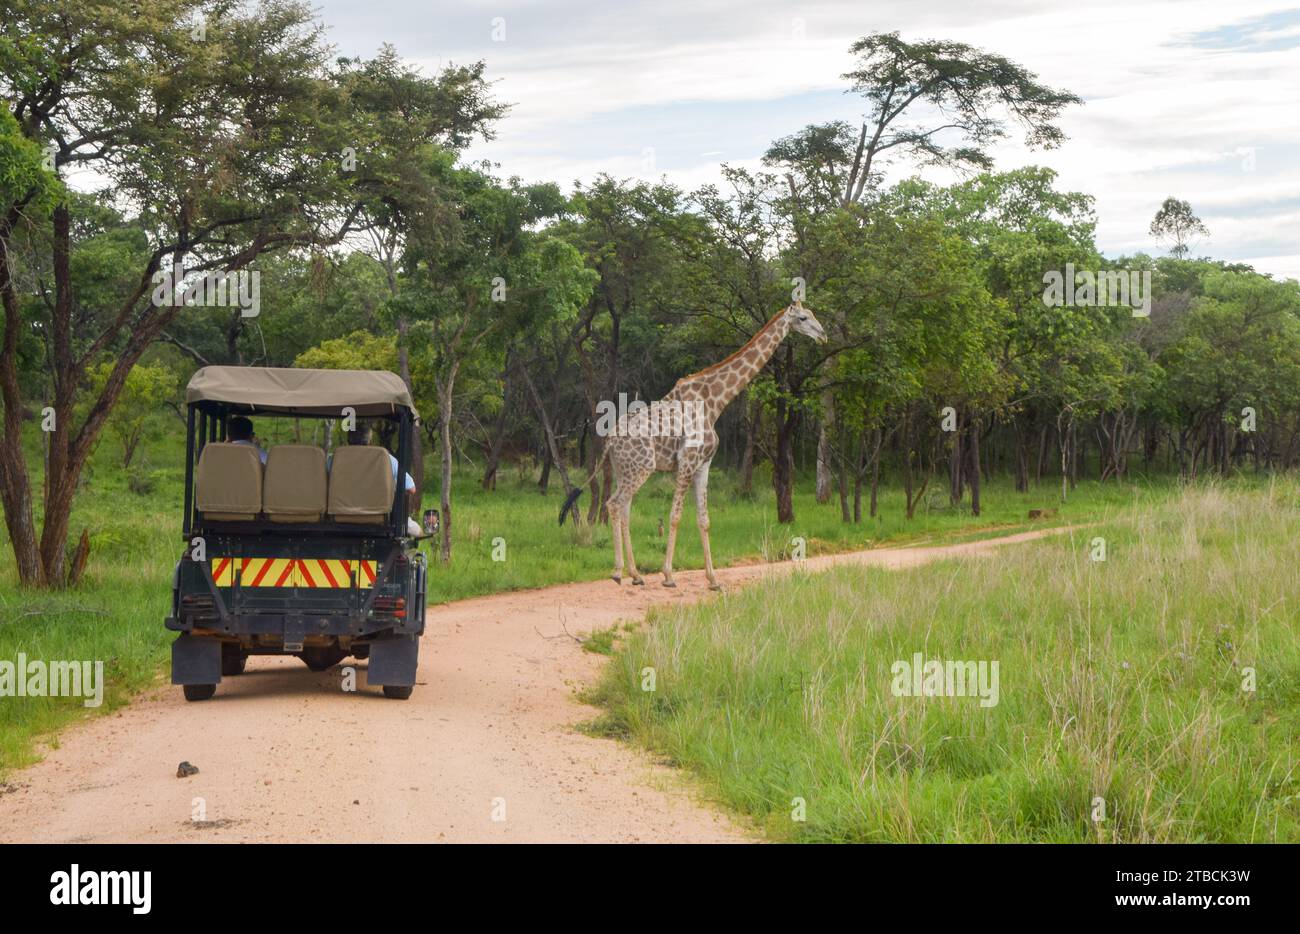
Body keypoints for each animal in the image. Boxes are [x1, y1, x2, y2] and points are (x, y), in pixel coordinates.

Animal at [560, 303, 827, 590]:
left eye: (813, 315)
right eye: (803, 318)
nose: (822, 335)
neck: (715, 402)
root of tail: (610, 440)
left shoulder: (704, 464)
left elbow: (704, 519)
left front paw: (713, 579)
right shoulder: (687, 461)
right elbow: (675, 515)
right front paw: (668, 576)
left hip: (625, 470)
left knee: (623, 508)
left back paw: (635, 574)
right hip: (642, 467)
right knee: (614, 505)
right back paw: (619, 572)